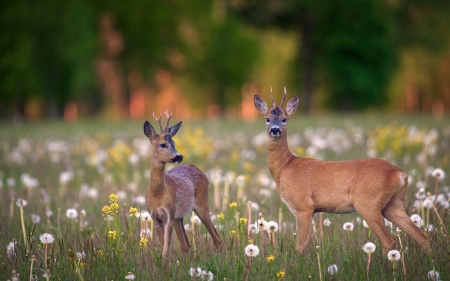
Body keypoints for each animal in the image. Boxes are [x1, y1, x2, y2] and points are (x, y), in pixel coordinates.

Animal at [143, 109, 222, 256]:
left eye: (174, 143)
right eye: (163, 144)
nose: (179, 156)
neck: (158, 194)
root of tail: (198, 169)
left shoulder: (169, 214)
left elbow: (166, 248)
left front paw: (164, 261)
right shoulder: (155, 217)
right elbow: (164, 245)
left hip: (202, 204)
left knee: (216, 237)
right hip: (178, 217)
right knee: (186, 245)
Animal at [255, 87, 430, 254]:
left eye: (284, 119)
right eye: (267, 118)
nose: (275, 129)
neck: (285, 167)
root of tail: (400, 173)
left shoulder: (303, 206)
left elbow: (300, 247)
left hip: (368, 202)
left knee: (389, 241)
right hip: (393, 203)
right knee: (422, 235)